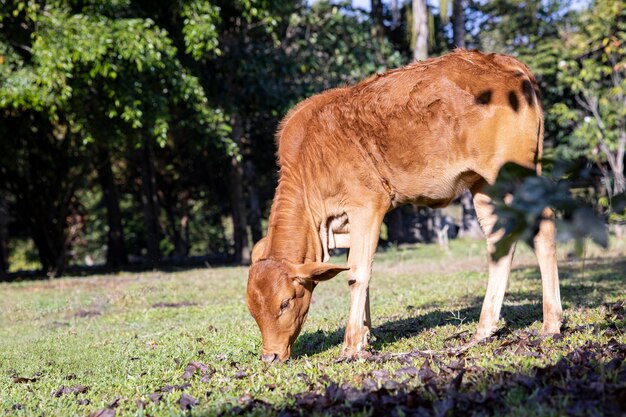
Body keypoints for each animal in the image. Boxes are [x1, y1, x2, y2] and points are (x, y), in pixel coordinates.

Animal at [244, 48, 560, 360]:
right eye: (251, 310)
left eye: (285, 302)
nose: (270, 356)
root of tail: (506, 62)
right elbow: (362, 273)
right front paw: (365, 336)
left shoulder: (367, 207)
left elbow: (358, 274)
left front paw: (351, 345)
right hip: (484, 185)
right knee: (499, 239)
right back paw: (484, 329)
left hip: (514, 172)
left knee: (543, 226)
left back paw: (551, 323)